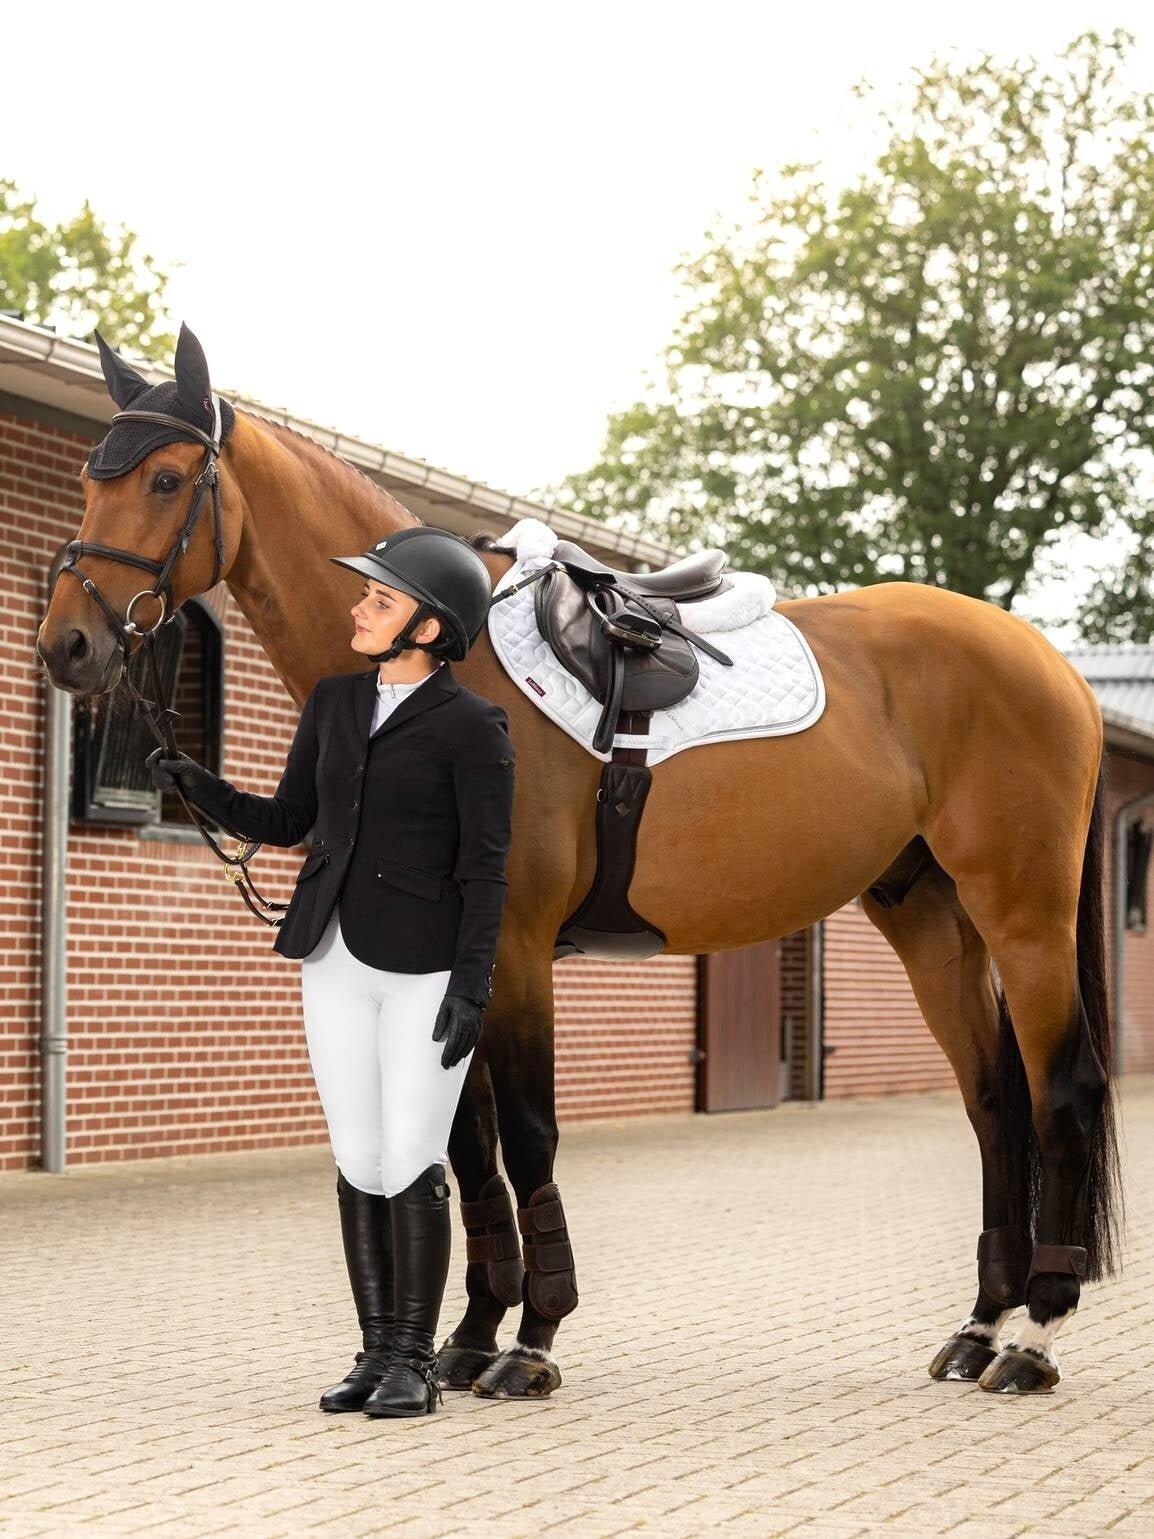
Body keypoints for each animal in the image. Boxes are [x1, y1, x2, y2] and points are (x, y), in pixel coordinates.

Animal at [36, 324, 1122, 1399]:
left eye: (167, 479)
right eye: (90, 479)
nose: (68, 646)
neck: (452, 667)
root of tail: (1052, 665)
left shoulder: (514, 951)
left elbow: (525, 1135)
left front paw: (530, 1341)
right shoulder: (450, 964)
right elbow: (466, 1143)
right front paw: (470, 1335)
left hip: (1021, 914)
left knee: (1061, 1093)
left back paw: (1035, 1338)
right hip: (930, 917)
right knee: (993, 1105)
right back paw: (978, 1328)